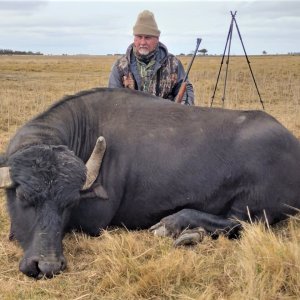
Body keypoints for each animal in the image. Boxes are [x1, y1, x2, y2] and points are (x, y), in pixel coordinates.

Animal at [0, 87, 300, 278]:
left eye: (70, 203)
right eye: (24, 197)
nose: (47, 266)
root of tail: (293, 144)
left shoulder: (96, 220)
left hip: (252, 207)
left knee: (240, 224)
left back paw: (175, 225)